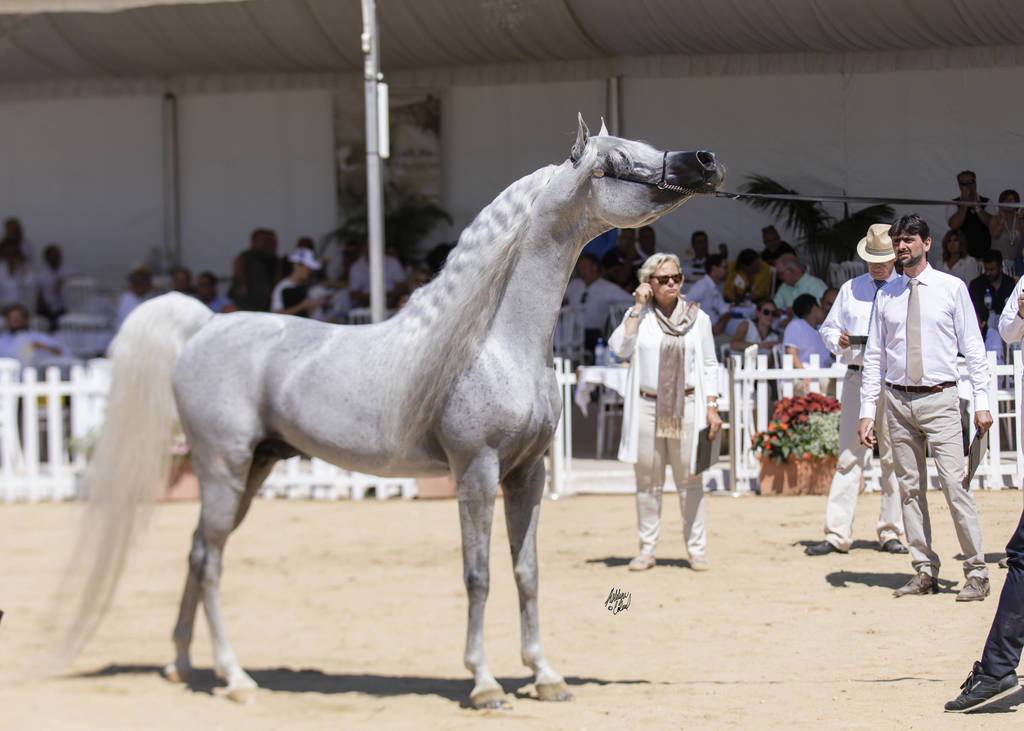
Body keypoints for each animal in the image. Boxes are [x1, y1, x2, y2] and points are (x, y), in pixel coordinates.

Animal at [61, 115, 724, 710]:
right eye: (616, 163)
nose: (704, 161)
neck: (494, 342)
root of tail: (203, 325)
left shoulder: (527, 475)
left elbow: (527, 573)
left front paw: (545, 676)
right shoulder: (476, 473)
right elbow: (479, 575)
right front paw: (484, 684)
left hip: (252, 469)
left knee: (199, 553)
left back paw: (182, 665)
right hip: (223, 468)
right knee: (212, 561)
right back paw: (235, 677)